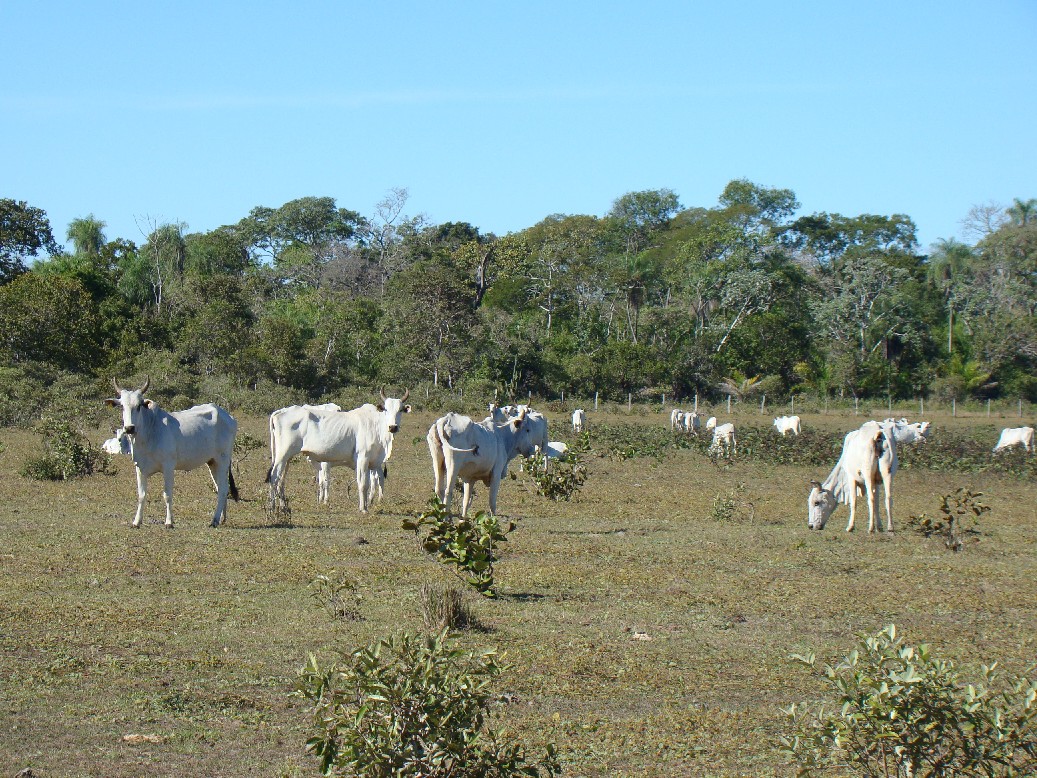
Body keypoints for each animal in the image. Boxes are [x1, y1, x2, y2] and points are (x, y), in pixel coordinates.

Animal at [106, 377, 240, 531]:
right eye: (122, 406)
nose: (129, 428)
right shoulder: (139, 468)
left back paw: (214, 520)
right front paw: (136, 521)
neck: (149, 432)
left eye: (139, 406)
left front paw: (169, 522)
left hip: (223, 460)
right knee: (220, 487)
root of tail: (229, 417)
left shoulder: (168, 467)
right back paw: (221, 518)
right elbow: (141, 495)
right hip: (212, 462)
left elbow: (167, 495)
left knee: (223, 489)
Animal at [265, 387, 410, 514]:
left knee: (281, 480)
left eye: (400, 410)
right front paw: (363, 509)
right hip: (282, 454)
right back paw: (272, 508)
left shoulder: (371, 463)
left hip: (287, 457)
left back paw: (282, 507)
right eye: (386, 409)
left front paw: (366, 505)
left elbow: (370, 482)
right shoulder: (362, 458)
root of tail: (280, 412)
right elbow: (363, 484)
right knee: (274, 476)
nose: (393, 427)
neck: (376, 426)